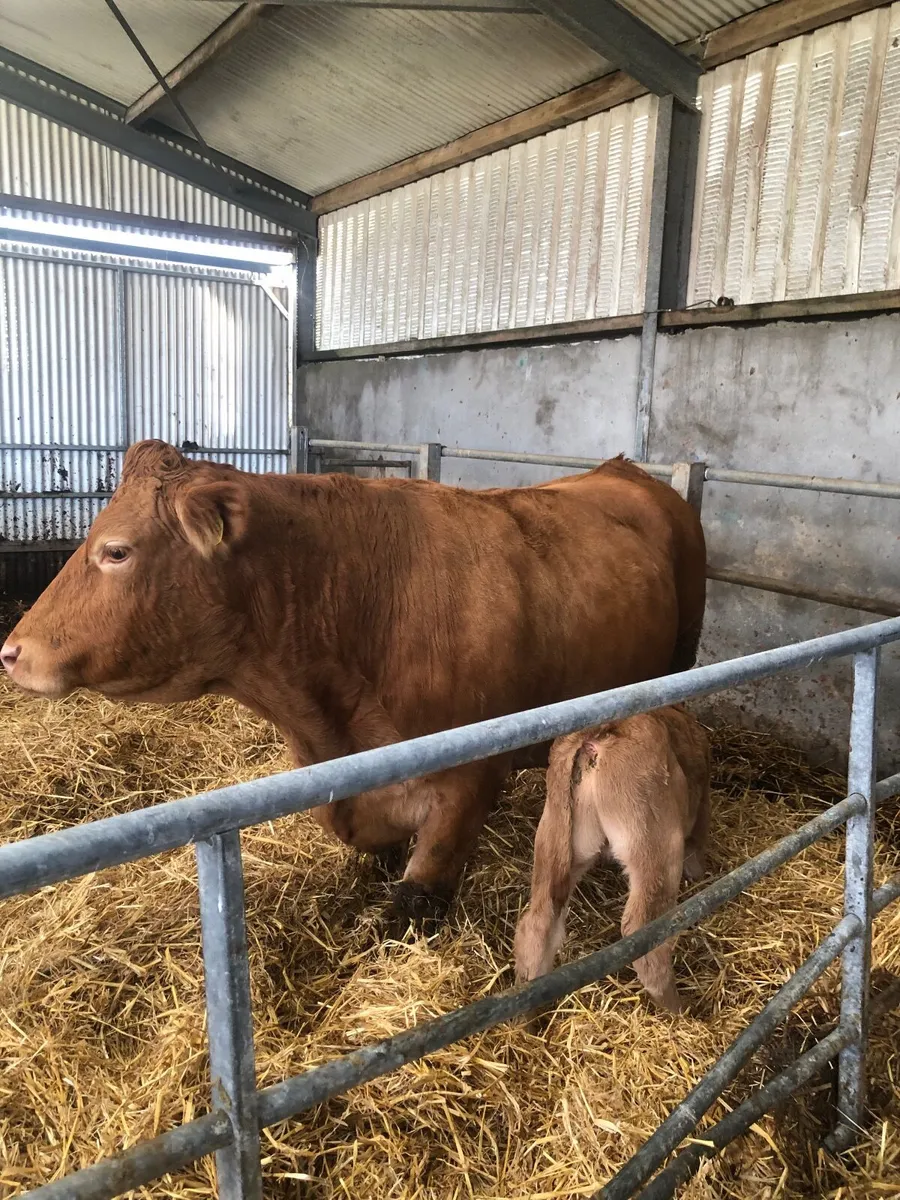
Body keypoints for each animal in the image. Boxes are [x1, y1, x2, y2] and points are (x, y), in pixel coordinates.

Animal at [514, 705, 711, 1012]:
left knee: (537, 923)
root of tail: (595, 737)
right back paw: (679, 1011)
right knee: (644, 934)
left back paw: (530, 1015)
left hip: (553, 838)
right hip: (656, 846)